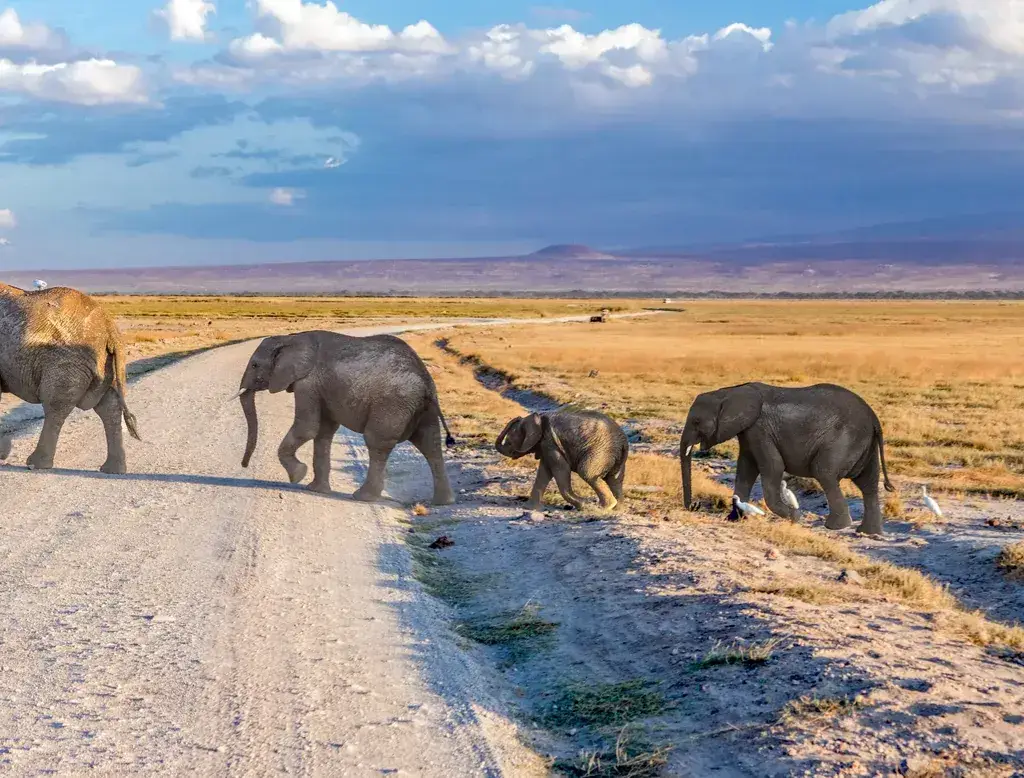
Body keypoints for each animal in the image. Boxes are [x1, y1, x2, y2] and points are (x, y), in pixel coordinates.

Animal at [0, 283, 141, 472]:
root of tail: (110, 328)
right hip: (104, 363)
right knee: (109, 406)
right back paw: (113, 469)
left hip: (66, 362)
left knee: (56, 406)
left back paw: (36, 464)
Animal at [238, 330, 456, 504]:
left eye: (255, 365)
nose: (244, 465)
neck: (290, 338)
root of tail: (426, 381)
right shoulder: (321, 388)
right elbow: (323, 432)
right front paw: (316, 490)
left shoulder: (308, 383)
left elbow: (307, 427)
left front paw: (298, 476)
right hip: (420, 407)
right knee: (430, 444)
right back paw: (442, 502)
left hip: (394, 403)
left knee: (377, 443)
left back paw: (363, 497)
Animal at [495, 410, 628, 511]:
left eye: (509, 442)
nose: (516, 417)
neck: (538, 419)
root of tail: (623, 442)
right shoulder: (547, 445)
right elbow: (544, 472)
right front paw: (530, 508)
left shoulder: (551, 443)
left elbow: (561, 469)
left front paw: (584, 505)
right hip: (615, 456)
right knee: (614, 480)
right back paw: (617, 509)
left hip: (601, 451)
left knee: (587, 473)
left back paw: (604, 508)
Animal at [679, 382, 894, 535]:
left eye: (696, 421)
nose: (694, 507)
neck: (728, 392)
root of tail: (874, 419)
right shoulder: (749, 432)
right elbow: (746, 469)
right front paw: (733, 518)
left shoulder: (760, 429)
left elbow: (772, 467)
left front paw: (794, 517)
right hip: (864, 443)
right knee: (868, 483)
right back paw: (868, 532)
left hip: (845, 439)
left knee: (824, 472)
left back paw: (835, 527)